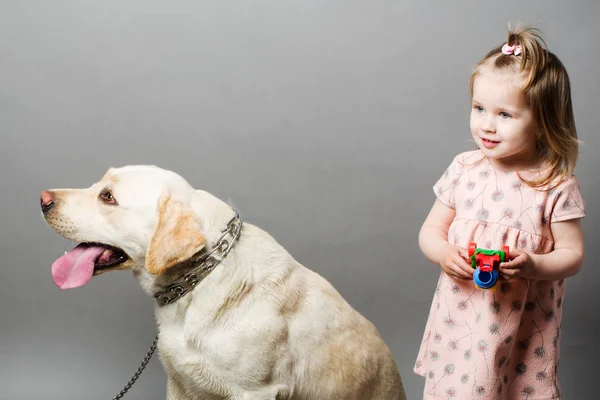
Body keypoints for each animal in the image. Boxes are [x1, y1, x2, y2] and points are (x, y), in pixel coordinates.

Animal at [41, 166, 408, 400]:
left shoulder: (254, 392)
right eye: (99, 185)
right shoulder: (181, 385)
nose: (43, 198)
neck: (200, 279)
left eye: (108, 197)